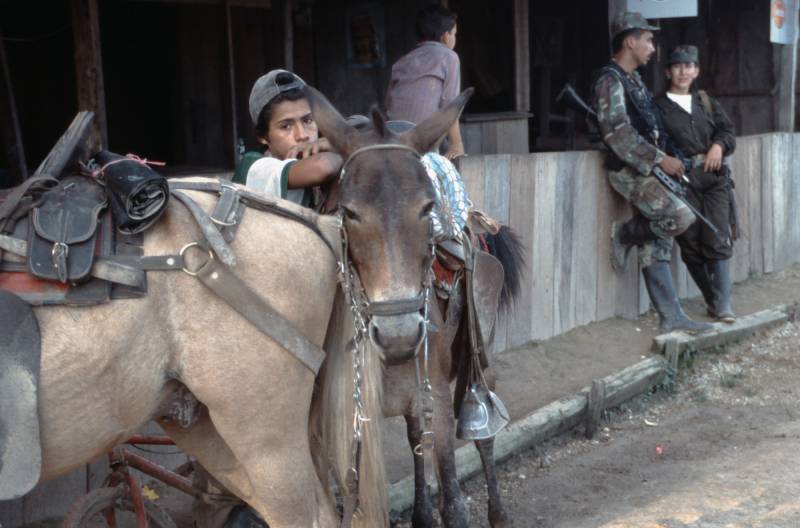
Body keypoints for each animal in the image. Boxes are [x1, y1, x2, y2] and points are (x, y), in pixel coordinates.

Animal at [304, 84, 520, 524]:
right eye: (348, 211)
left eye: (427, 207)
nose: (399, 335)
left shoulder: (435, 396)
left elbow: (453, 501)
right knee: (416, 437)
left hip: (478, 357)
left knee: (483, 427)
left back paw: (498, 513)